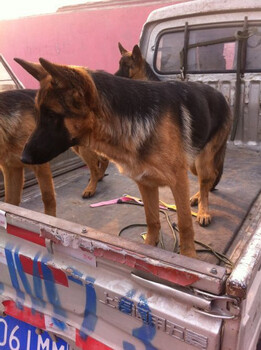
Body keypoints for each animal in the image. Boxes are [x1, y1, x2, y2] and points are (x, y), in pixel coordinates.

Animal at [0, 87, 107, 216]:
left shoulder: (39, 164)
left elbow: (47, 196)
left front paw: (50, 216)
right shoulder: (12, 169)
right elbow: (10, 202)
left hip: (84, 148)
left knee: (95, 168)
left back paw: (91, 188)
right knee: (103, 160)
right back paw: (99, 177)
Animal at [15, 58, 231, 258]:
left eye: (52, 115)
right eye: (39, 114)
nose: (23, 158)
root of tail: (220, 94)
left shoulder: (178, 181)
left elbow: (185, 222)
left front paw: (188, 256)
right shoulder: (145, 183)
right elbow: (152, 219)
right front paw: (150, 246)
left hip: (201, 162)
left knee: (206, 181)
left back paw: (203, 210)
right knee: (205, 183)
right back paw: (196, 198)